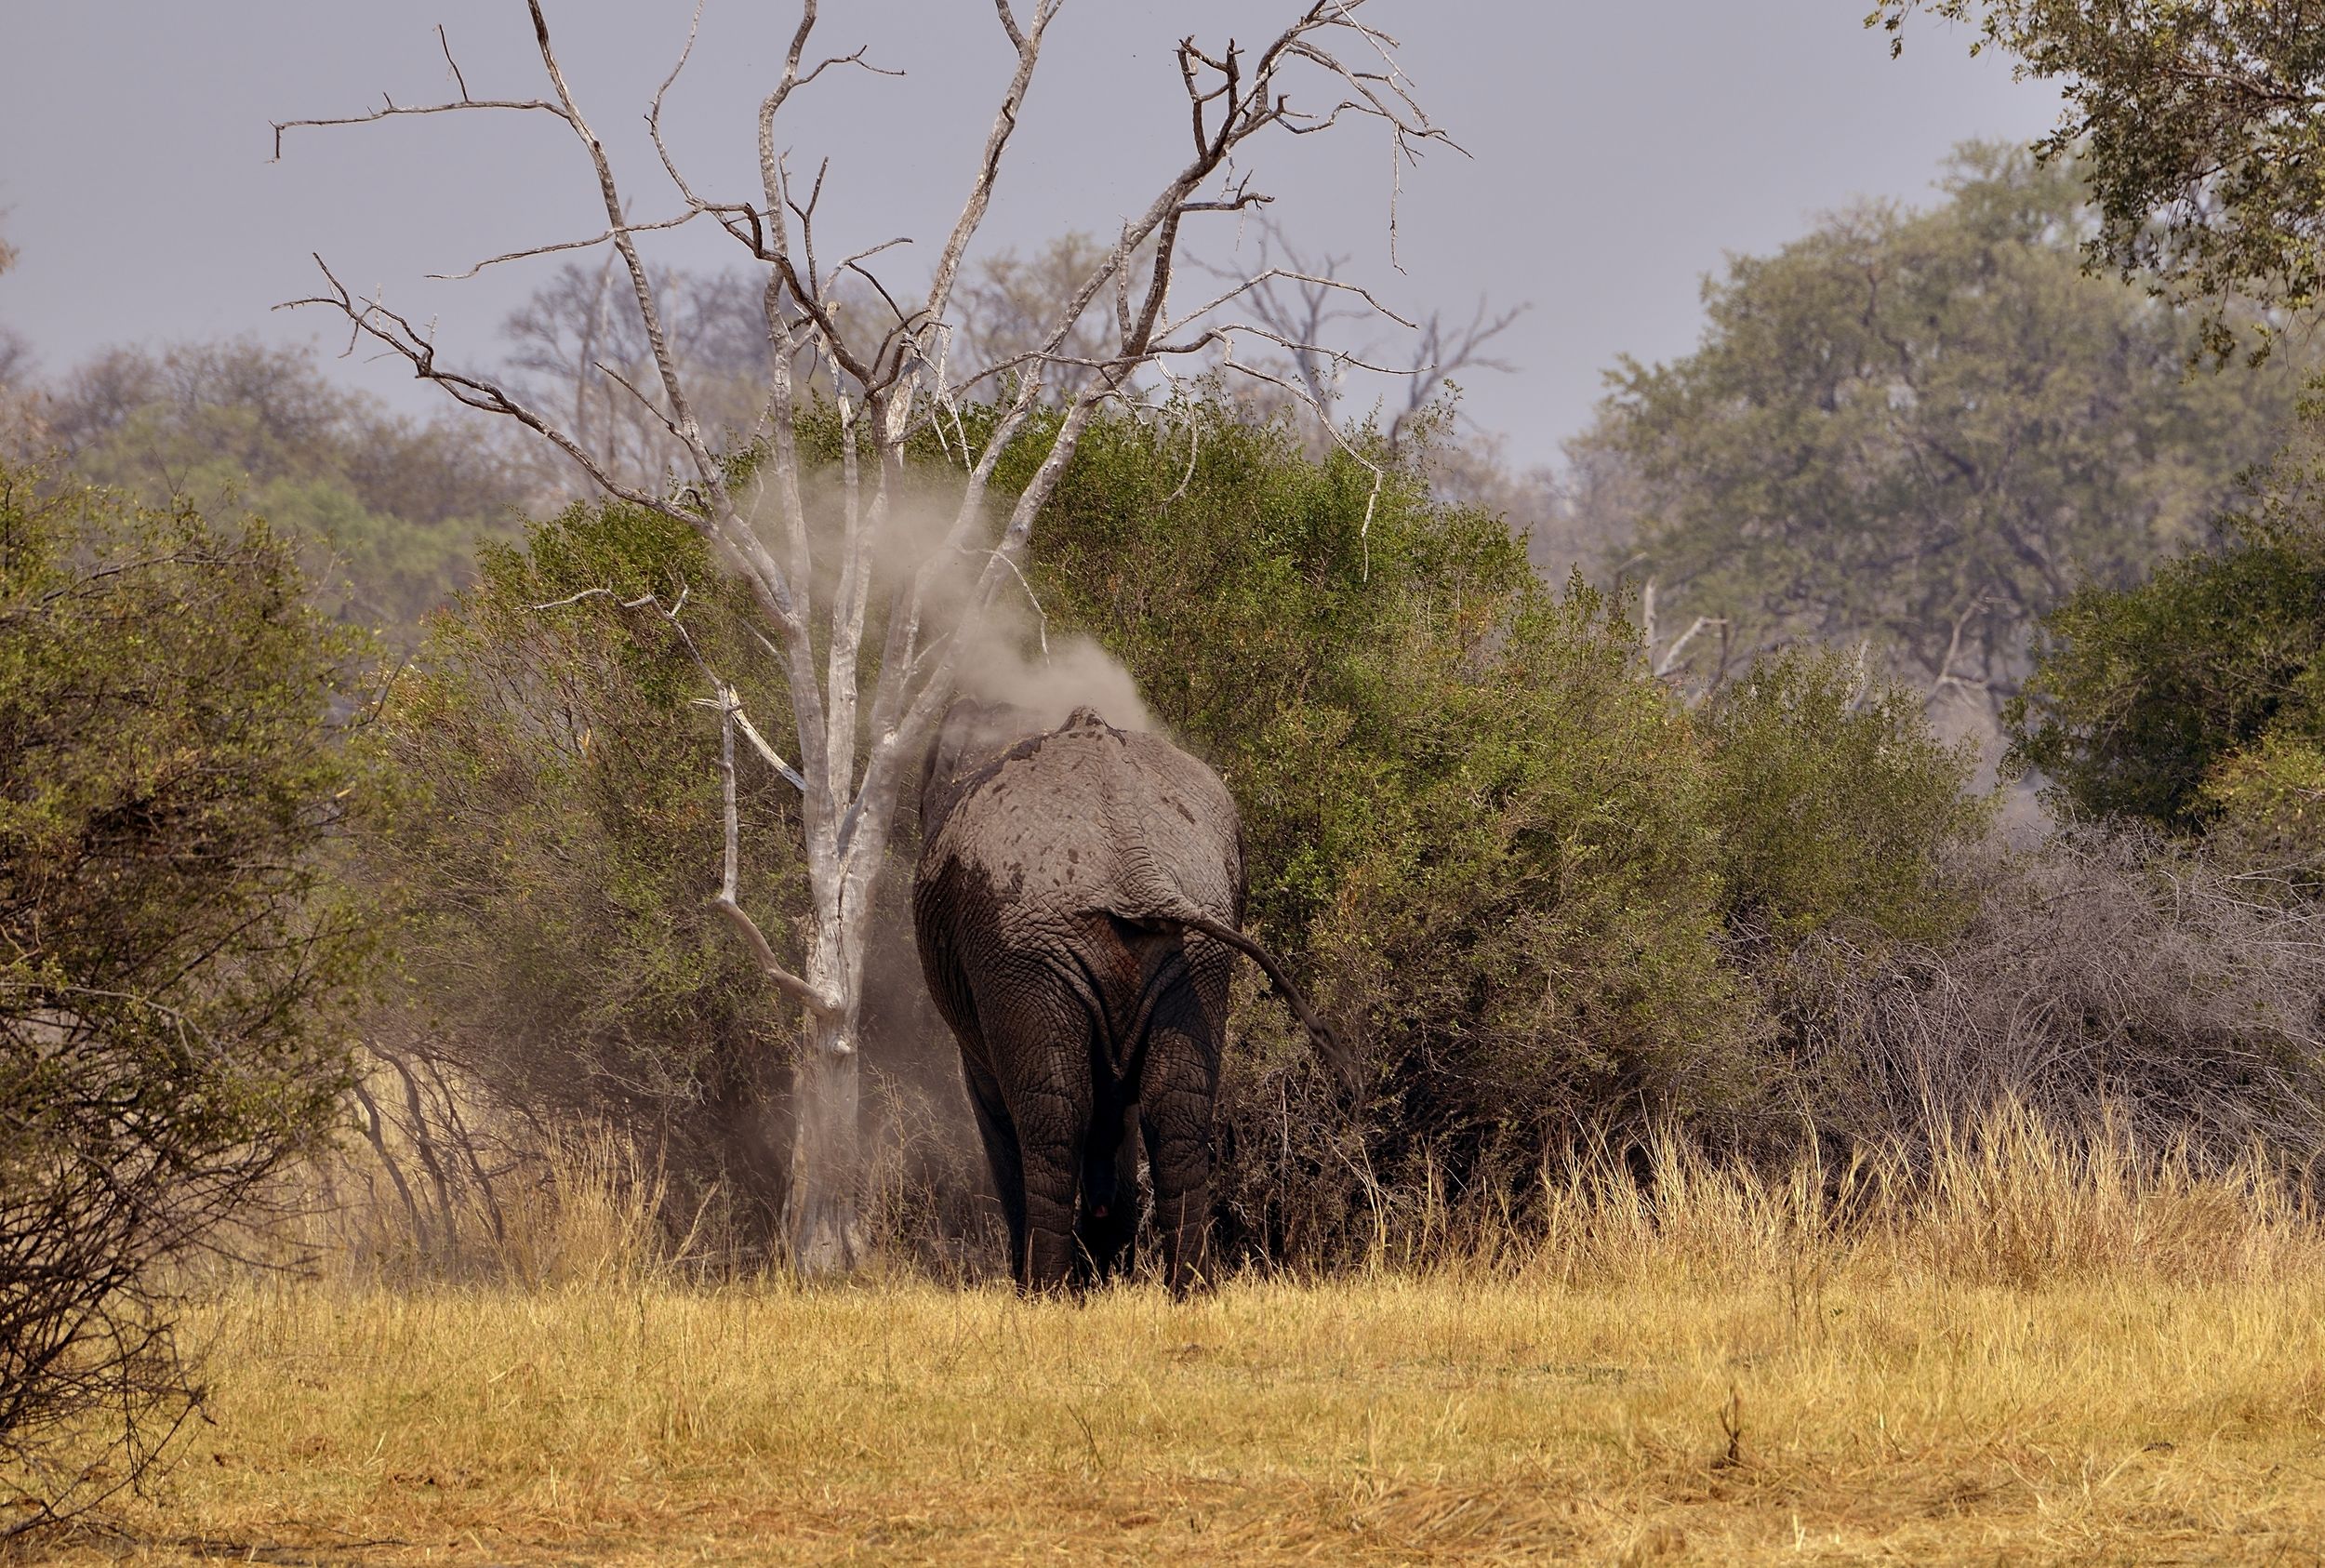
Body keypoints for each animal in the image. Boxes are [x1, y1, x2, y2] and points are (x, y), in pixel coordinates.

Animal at [914, 698, 1338, 1293]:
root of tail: (1132, 862)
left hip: (1022, 949)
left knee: (1051, 1121)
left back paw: (1043, 1295)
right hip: (1194, 947)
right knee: (1176, 1113)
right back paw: (1192, 1294)